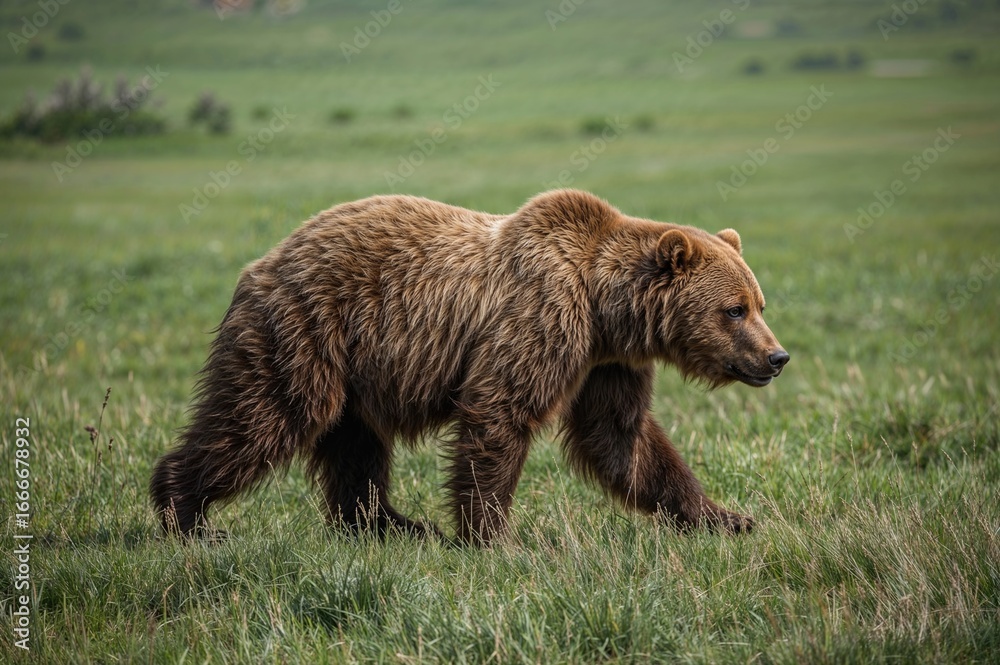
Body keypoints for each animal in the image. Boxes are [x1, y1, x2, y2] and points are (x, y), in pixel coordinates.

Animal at [150, 189, 788, 545]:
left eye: (759, 302)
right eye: (734, 309)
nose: (776, 357)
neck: (604, 306)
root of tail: (264, 260)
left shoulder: (606, 363)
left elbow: (621, 439)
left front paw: (727, 517)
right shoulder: (541, 319)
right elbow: (501, 411)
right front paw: (494, 537)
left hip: (352, 365)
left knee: (355, 445)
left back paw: (392, 525)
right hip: (304, 329)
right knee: (264, 415)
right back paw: (188, 515)